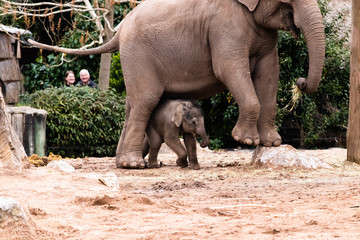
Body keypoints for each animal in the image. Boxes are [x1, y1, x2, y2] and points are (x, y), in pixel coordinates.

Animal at [28, 0, 326, 169]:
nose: (300, 81)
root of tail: (119, 30)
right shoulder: (224, 26)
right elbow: (229, 68)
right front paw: (246, 140)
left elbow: (269, 74)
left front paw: (272, 143)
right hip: (138, 55)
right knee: (146, 101)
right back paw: (133, 165)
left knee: (134, 105)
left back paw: (123, 162)